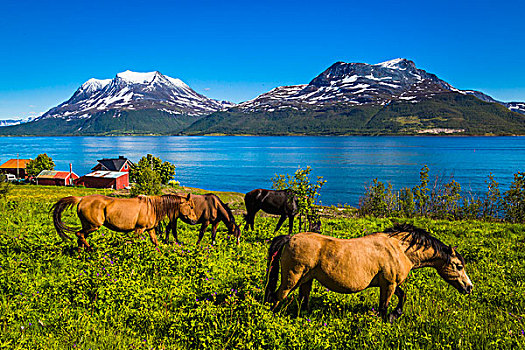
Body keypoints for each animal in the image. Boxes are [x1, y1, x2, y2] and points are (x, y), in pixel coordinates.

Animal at [51, 194, 196, 252]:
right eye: (191, 206)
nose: (194, 220)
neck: (152, 207)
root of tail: (81, 199)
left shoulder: (150, 229)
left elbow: (155, 242)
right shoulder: (139, 229)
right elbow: (131, 241)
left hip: (88, 226)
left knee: (80, 237)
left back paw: (81, 254)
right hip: (93, 226)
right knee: (79, 235)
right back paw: (91, 250)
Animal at [264, 224, 472, 322]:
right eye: (458, 266)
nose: (469, 287)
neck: (399, 249)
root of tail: (290, 237)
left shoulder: (391, 283)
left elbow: (402, 296)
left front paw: (396, 313)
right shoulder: (388, 284)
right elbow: (384, 306)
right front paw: (390, 318)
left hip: (307, 280)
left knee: (303, 301)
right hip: (292, 278)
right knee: (277, 297)